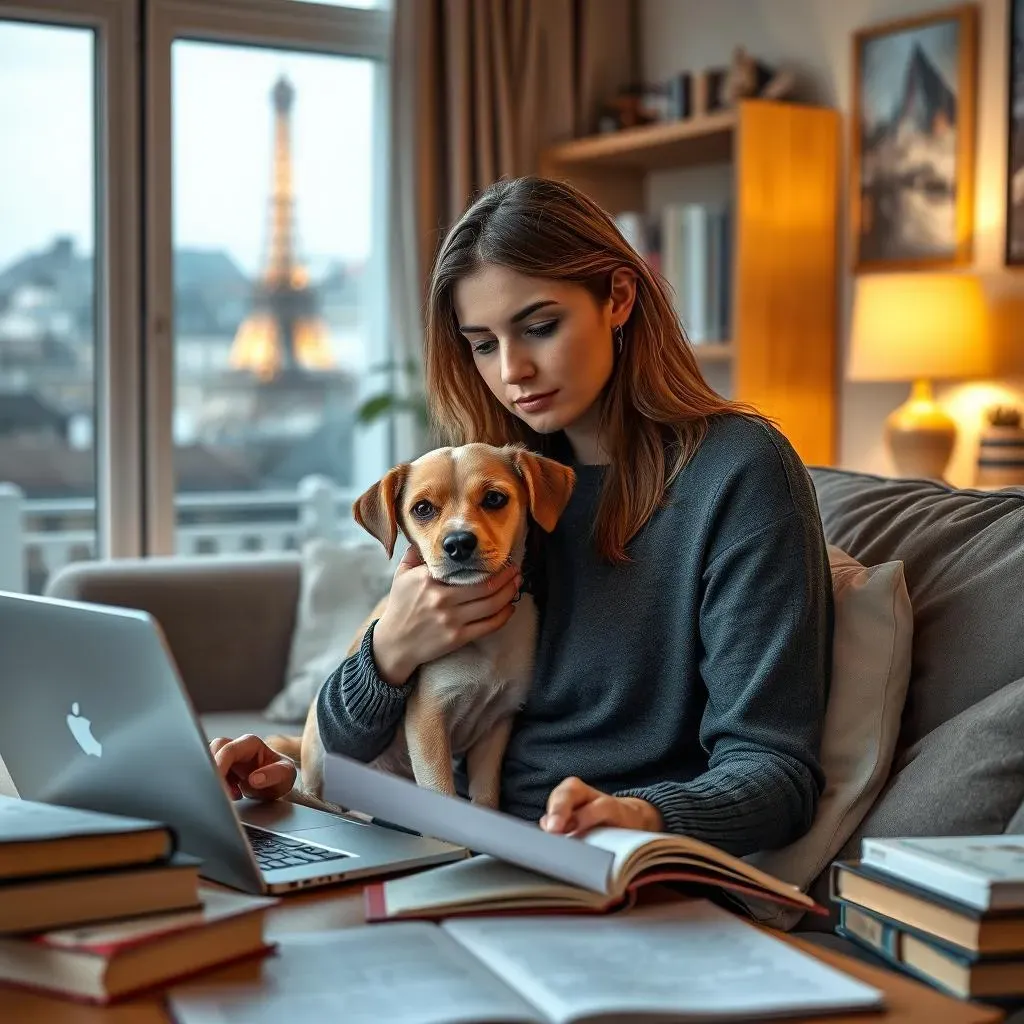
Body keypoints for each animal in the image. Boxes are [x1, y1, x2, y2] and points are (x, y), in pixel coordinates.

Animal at [270, 444, 577, 811]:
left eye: (494, 499)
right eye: (423, 508)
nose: (458, 543)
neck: (483, 639)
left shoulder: (496, 725)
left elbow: (485, 799)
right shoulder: (427, 719)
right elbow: (441, 793)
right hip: (319, 745)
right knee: (315, 792)